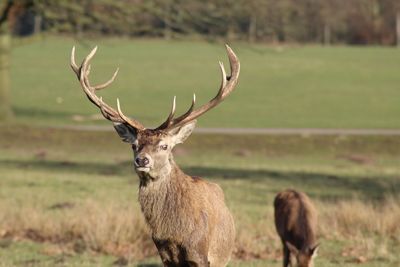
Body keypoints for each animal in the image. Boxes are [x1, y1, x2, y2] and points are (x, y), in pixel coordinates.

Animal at [70, 45, 241, 266]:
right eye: (134, 145)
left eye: (165, 146)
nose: (142, 160)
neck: (176, 233)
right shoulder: (165, 255)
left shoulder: (200, 254)